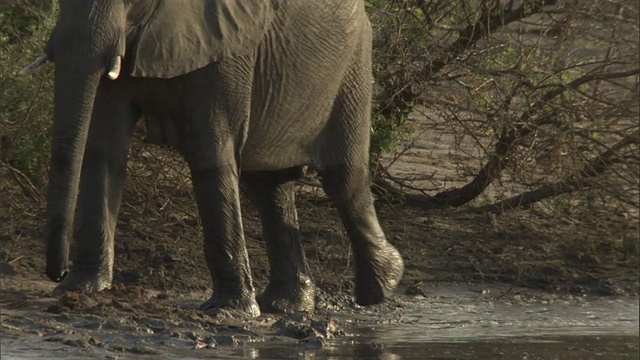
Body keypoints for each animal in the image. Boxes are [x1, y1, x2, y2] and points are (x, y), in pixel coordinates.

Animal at [22, 0, 404, 316]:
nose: (58, 272)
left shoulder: (226, 46)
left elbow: (211, 150)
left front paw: (230, 311)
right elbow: (104, 148)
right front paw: (82, 289)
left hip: (351, 67)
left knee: (343, 178)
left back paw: (381, 287)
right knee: (269, 184)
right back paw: (286, 305)